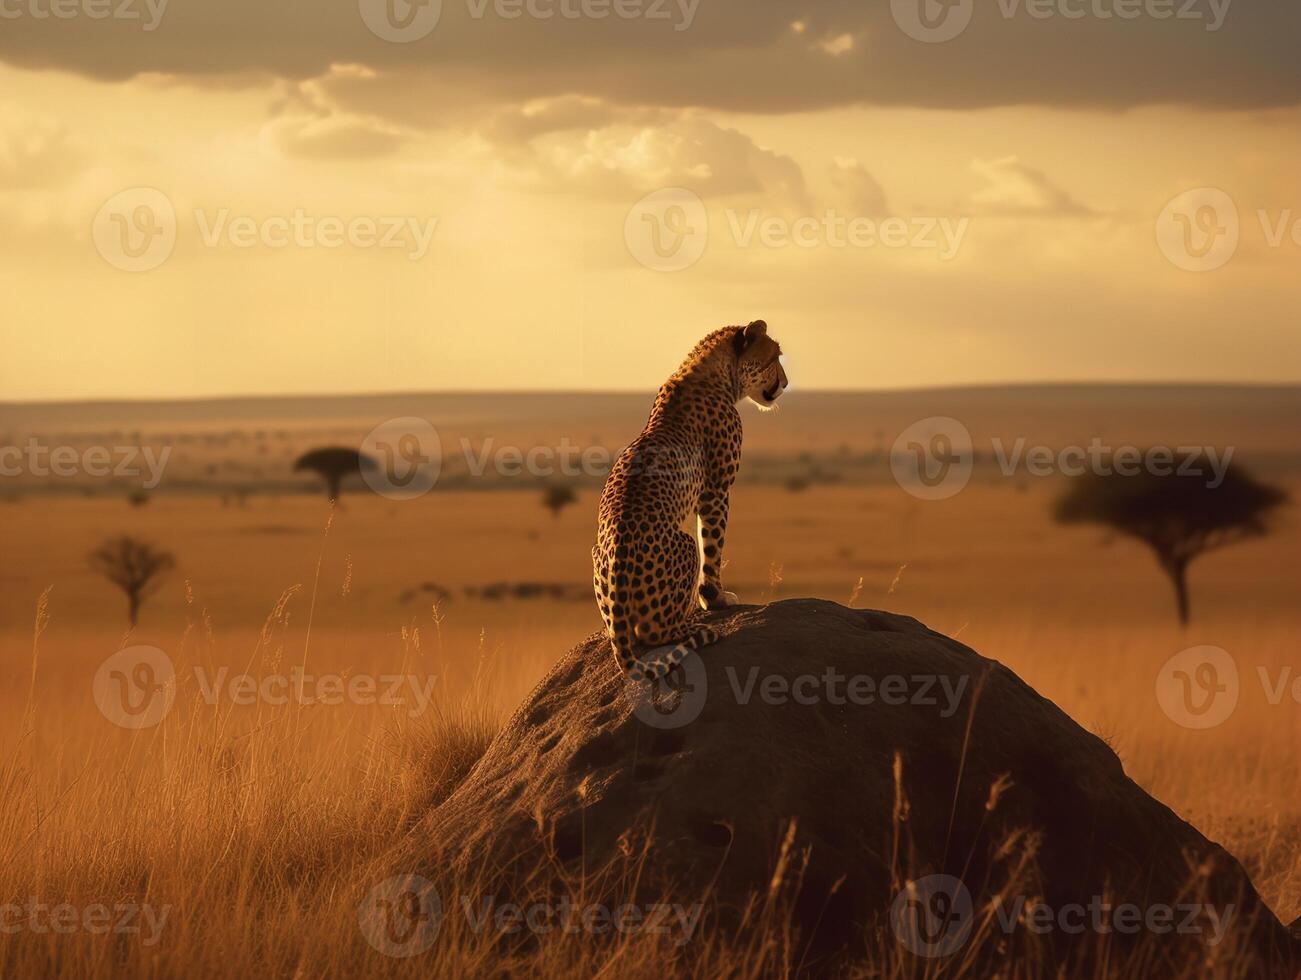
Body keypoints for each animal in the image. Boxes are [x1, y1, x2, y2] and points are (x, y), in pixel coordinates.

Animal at [595, 321, 785, 681]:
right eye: (774, 357)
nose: (785, 382)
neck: (714, 373)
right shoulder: (717, 490)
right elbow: (713, 547)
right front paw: (715, 599)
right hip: (682, 543)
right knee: (653, 633)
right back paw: (692, 628)